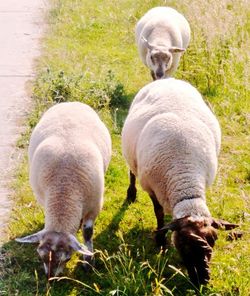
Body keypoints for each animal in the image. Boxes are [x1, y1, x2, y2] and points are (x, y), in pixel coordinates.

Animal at [16, 101, 112, 278]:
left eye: (67, 259)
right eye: (39, 256)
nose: (50, 278)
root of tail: (71, 102)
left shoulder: (94, 207)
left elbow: (88, 233)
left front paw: (88, 261)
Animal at [122, 78, 237, 286]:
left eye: (214, 240)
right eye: (183, 245)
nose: (203, 281)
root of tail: (167, 79)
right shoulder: (152, 188)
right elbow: (159, 213)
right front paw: (160, 240)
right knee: (132, 173)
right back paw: (131, 194)